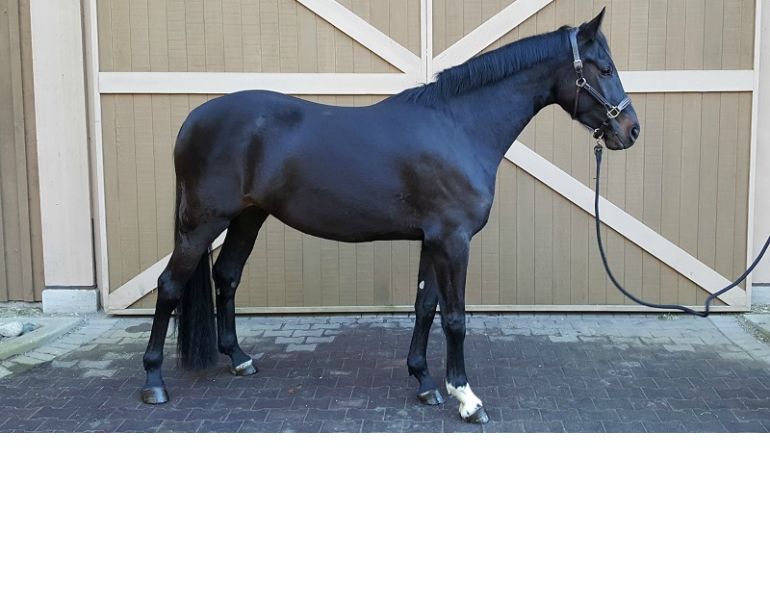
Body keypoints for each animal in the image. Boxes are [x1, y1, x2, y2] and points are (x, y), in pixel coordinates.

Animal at [139, 8, 640, 424]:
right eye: (604, 68)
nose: (631, 130)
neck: (458, 127)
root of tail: (193, 120)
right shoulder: (454, 241)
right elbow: (454, 318)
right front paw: (466, 398)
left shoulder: (433, 240)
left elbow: (425, 307)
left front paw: (424, 383)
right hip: (201, 224)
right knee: (170, 286)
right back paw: (153, 382)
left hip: (248, 217)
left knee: (226, 277)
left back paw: (239, 359)